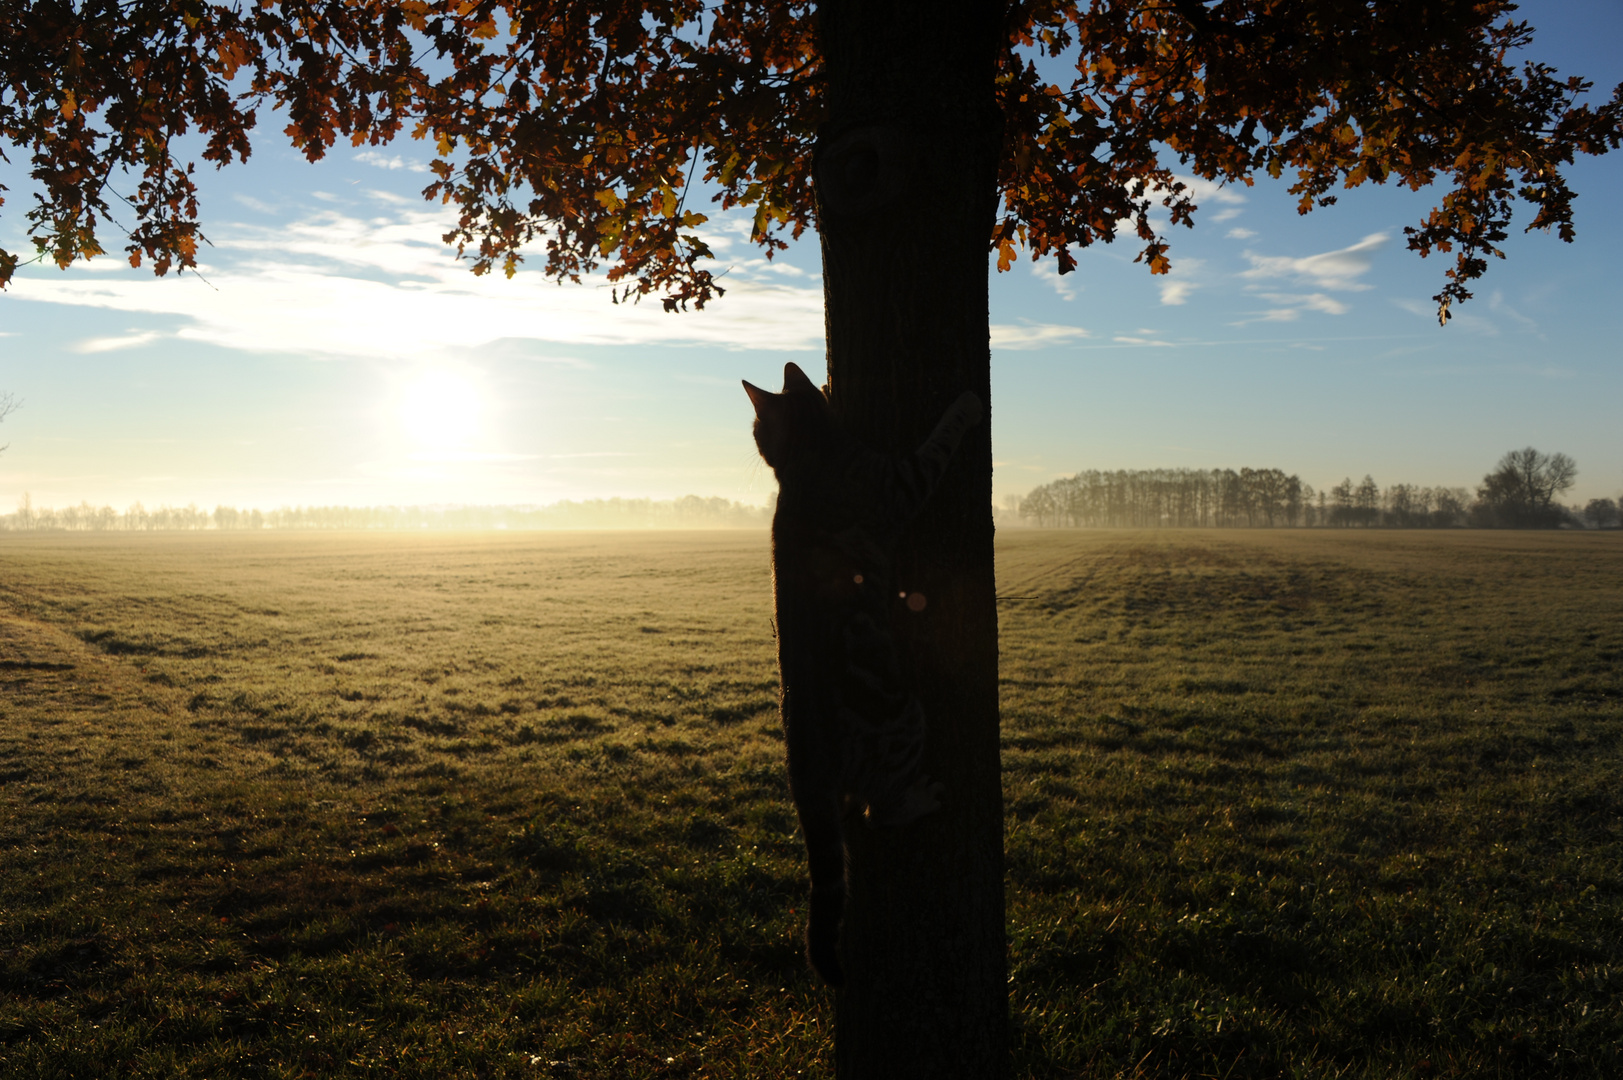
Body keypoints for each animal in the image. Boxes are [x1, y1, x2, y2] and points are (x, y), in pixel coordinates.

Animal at [743, 362, 980, 987]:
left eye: (756, 428)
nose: (752, 439)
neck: (809, 461)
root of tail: (803, 763)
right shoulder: (900, 481)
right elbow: (939, 443)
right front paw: (966, 405)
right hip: (906, 718)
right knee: (880, 811)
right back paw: (920, 799)